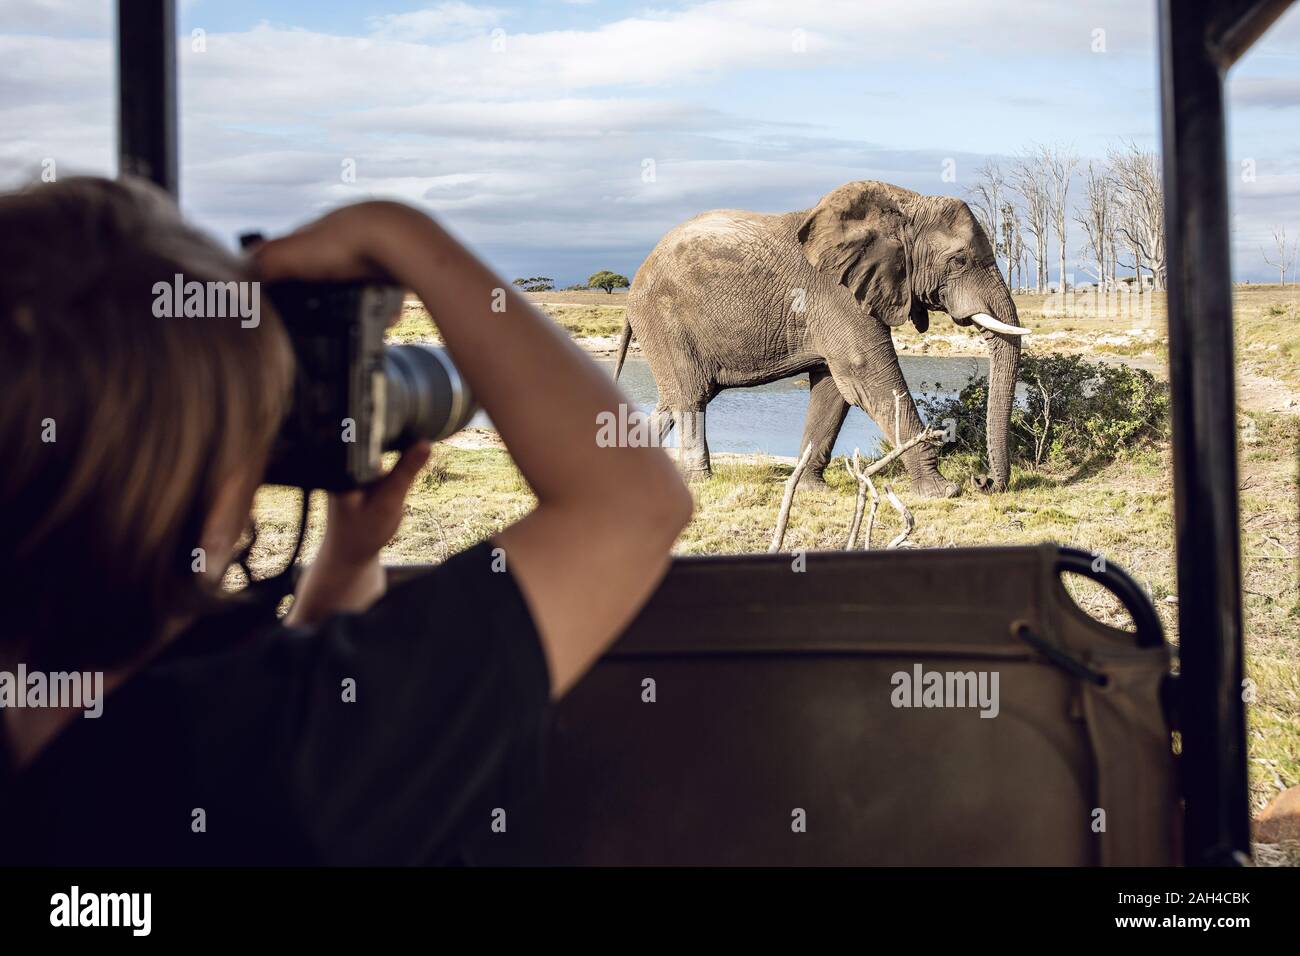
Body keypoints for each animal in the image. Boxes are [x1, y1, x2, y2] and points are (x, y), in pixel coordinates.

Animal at [613, 179, 1029, 496]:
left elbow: (833, 389)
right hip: (665, 319)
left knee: (674, 400)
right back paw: (701, 481)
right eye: (959, 260)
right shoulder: (837, 295)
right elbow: (867, 376)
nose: (983, 482)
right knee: (691, 398)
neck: (903, 204)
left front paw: (811, 489)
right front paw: (943, 491)